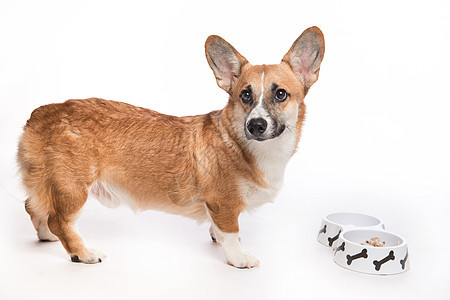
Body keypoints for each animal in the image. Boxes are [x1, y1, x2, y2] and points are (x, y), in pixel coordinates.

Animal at [17, 27, 326, 268]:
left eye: (281, 94)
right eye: (245, 95)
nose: (256, 125)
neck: (247, 145)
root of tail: (41, 113)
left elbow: (219, 231)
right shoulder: (223, 204)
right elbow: (230, 232)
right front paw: (238, 257)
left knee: (33, 206)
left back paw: (46, 237)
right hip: (74, 189)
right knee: (60, 221)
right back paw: (83, 253)